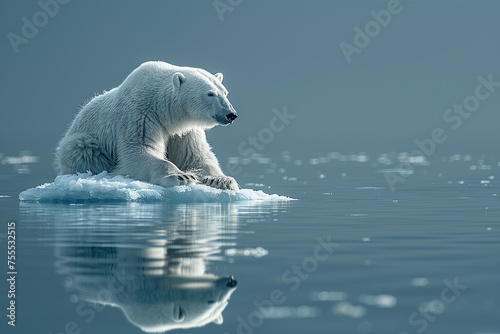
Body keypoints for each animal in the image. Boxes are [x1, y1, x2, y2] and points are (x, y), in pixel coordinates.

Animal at [55, 61, 239, 189]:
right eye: (210, 94)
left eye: (225, 92)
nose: (231, 114)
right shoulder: (139, 115)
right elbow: (138, 151)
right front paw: (181, 176)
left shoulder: (184, 130)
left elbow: (195, 156)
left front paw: (221, 180)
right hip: (83, 139)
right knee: (83, 149)